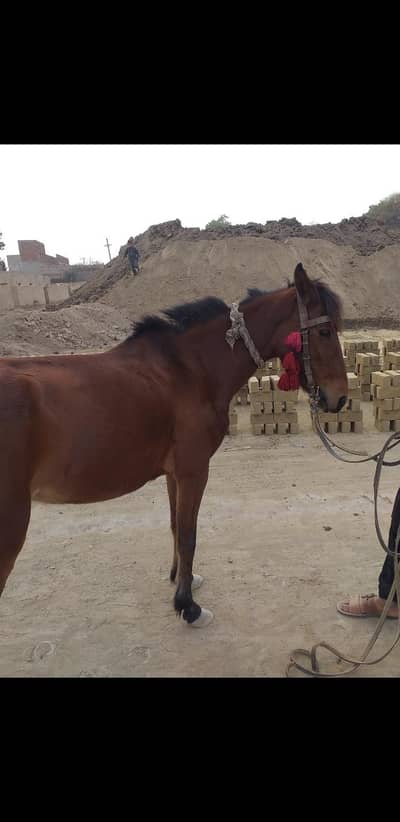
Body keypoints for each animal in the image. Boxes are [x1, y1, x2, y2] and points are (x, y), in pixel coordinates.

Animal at [0, 263, 347, 627]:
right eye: (325, 332)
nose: (339, 398)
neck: (190, 370)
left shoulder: (173, 474)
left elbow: (174, 527)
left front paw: (182, 579)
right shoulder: (194, 471)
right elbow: (188, 535)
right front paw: (188, 605)